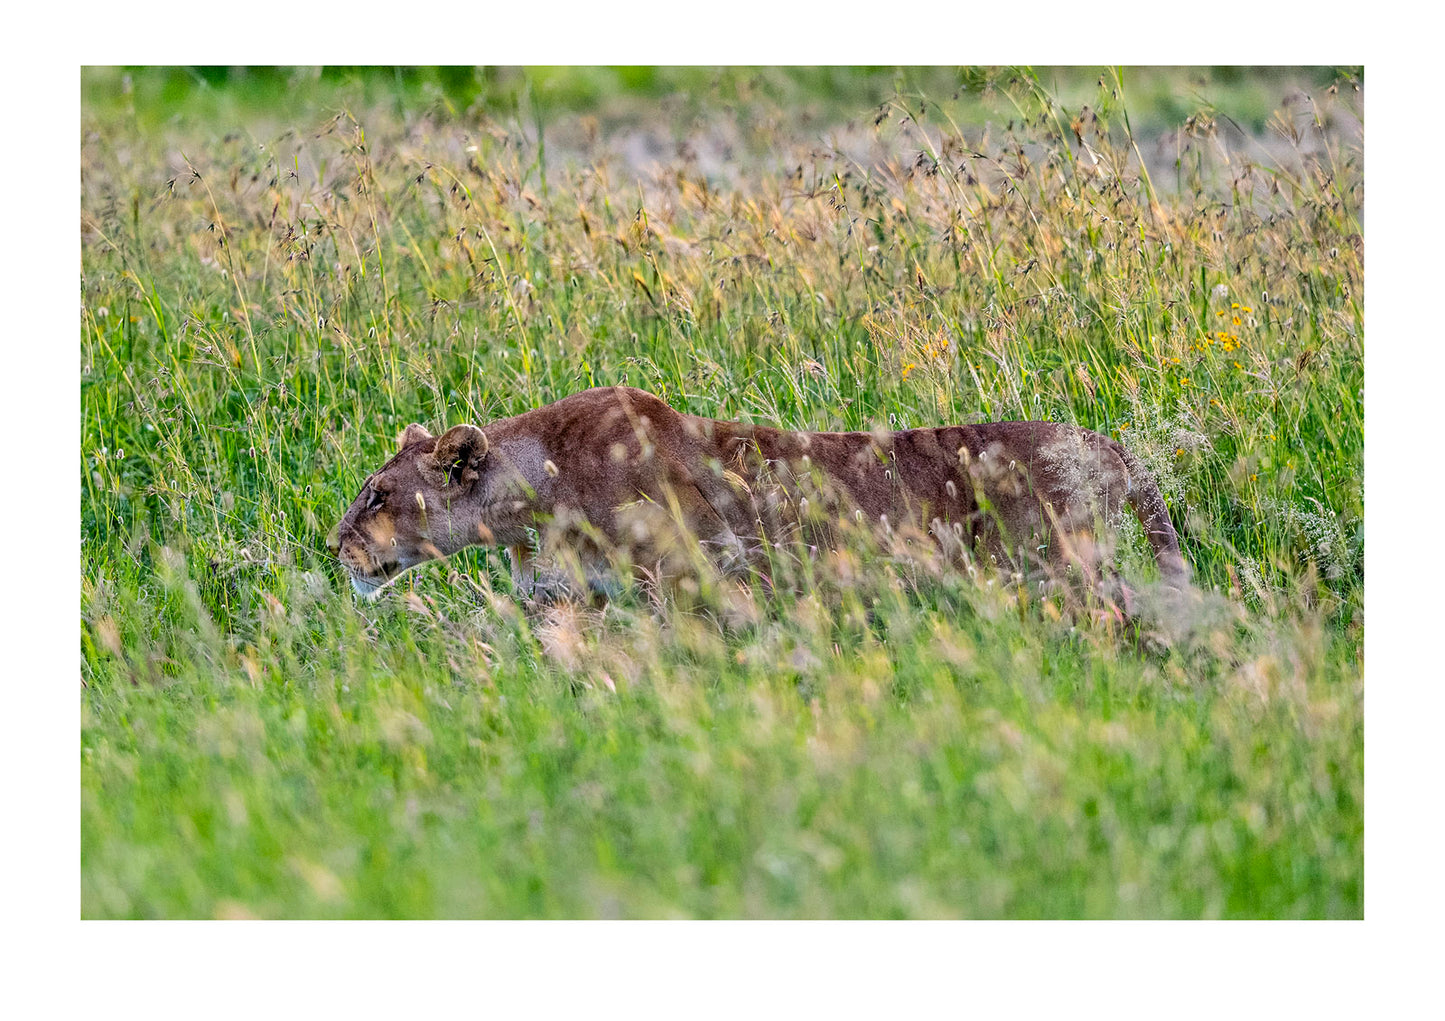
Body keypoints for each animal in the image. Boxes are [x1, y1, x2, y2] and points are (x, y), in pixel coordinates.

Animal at [330, 385, 1188, 607]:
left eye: (377, 495)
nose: (332, 546)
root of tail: (1106, 443)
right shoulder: (574, 598)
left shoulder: (685, 577)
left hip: (1056, 563)